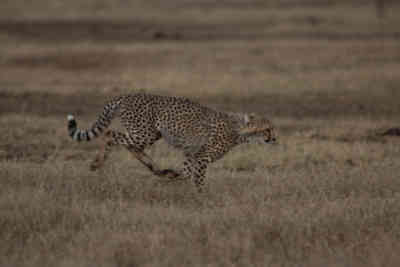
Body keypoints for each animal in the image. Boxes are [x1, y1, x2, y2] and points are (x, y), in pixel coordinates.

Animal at [67, 92, 276, 193]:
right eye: (267, 129)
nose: (274, 139)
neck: (239, 130)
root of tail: (127, 95)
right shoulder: (202, 157)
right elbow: (197, 178)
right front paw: (201, 196)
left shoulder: (192, 154)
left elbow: (185, 172)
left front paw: (171, 176)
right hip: (144, 132)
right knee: (111, 135)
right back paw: (97, 163)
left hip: (150, 134)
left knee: (131, 146)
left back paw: (157, 169)